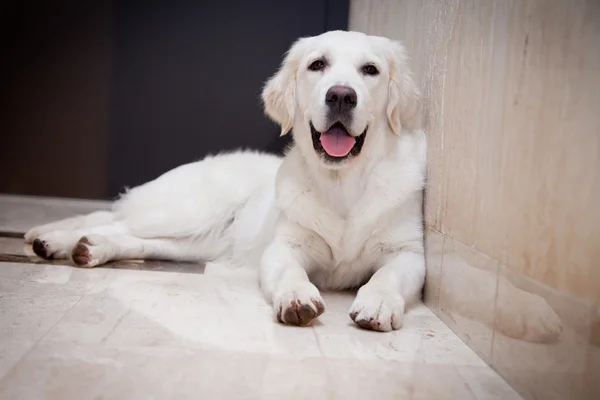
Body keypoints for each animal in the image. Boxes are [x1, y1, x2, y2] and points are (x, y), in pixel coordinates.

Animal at [24, 30, 426, 332]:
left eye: (370, 70)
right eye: (317, 65)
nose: (341, 95)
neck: (343, 184)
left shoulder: (408, 253)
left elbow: (387, 275)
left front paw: (378, 302)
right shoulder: (285, 246)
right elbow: (291, 271)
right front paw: (297, 297)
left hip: (195, 242)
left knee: (131, 237)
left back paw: (88, 247)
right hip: (186, 212)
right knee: (110, 217)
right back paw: (53, 238)